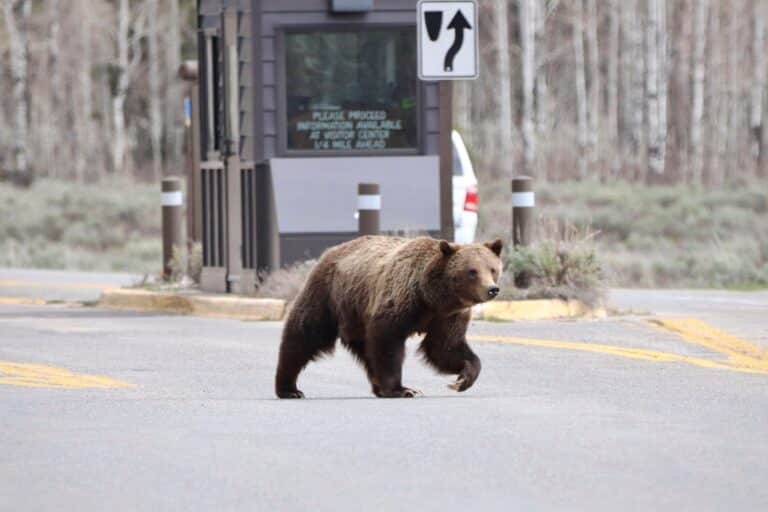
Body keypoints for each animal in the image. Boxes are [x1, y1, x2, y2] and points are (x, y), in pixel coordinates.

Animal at [274, 236, 504, 399]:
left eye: (492, 268)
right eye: (472, 271)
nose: (492, 289)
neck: (432, 297)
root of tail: (331, 250)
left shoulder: (447, 317)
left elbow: (445, 348)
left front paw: (463, 378)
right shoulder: (400, 302)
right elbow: (388, 342)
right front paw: (403, 389)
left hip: (357, 317)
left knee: (366, 352)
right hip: (329, 294)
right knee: (304, 333)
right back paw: (289, 388)